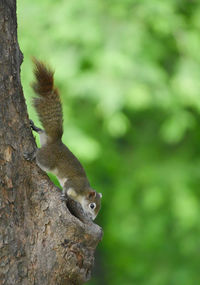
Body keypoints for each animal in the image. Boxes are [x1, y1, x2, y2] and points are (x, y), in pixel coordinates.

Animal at [30, 58, 102, 220]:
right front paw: (64, 196)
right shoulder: (73, 184)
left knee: (42, 132)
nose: (92, 219)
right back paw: (33, 153)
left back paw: (34, 126)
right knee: (40, 154)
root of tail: (56, 142)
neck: (82, 192)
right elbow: (66, 188)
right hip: (48, 161)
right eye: (92, 205)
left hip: (45, 138)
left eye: (99, 208)